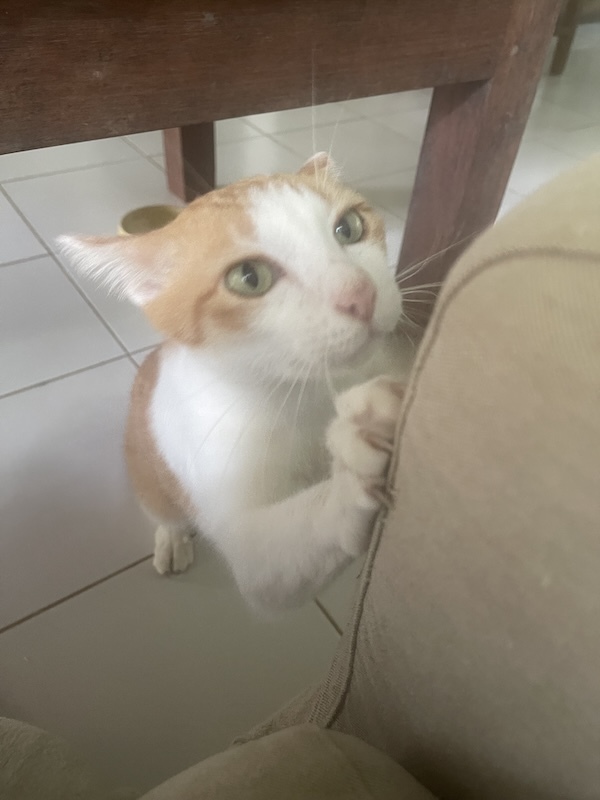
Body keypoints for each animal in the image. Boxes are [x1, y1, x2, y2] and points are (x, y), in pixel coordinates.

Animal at [58, 152, 411, 612]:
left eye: (349, 227)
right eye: (249, 277)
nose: (362, 296)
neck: (307, 388)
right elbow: (268, 563)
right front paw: (354, 467)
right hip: (146, 465)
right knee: (163, 508)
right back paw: (172, 536)